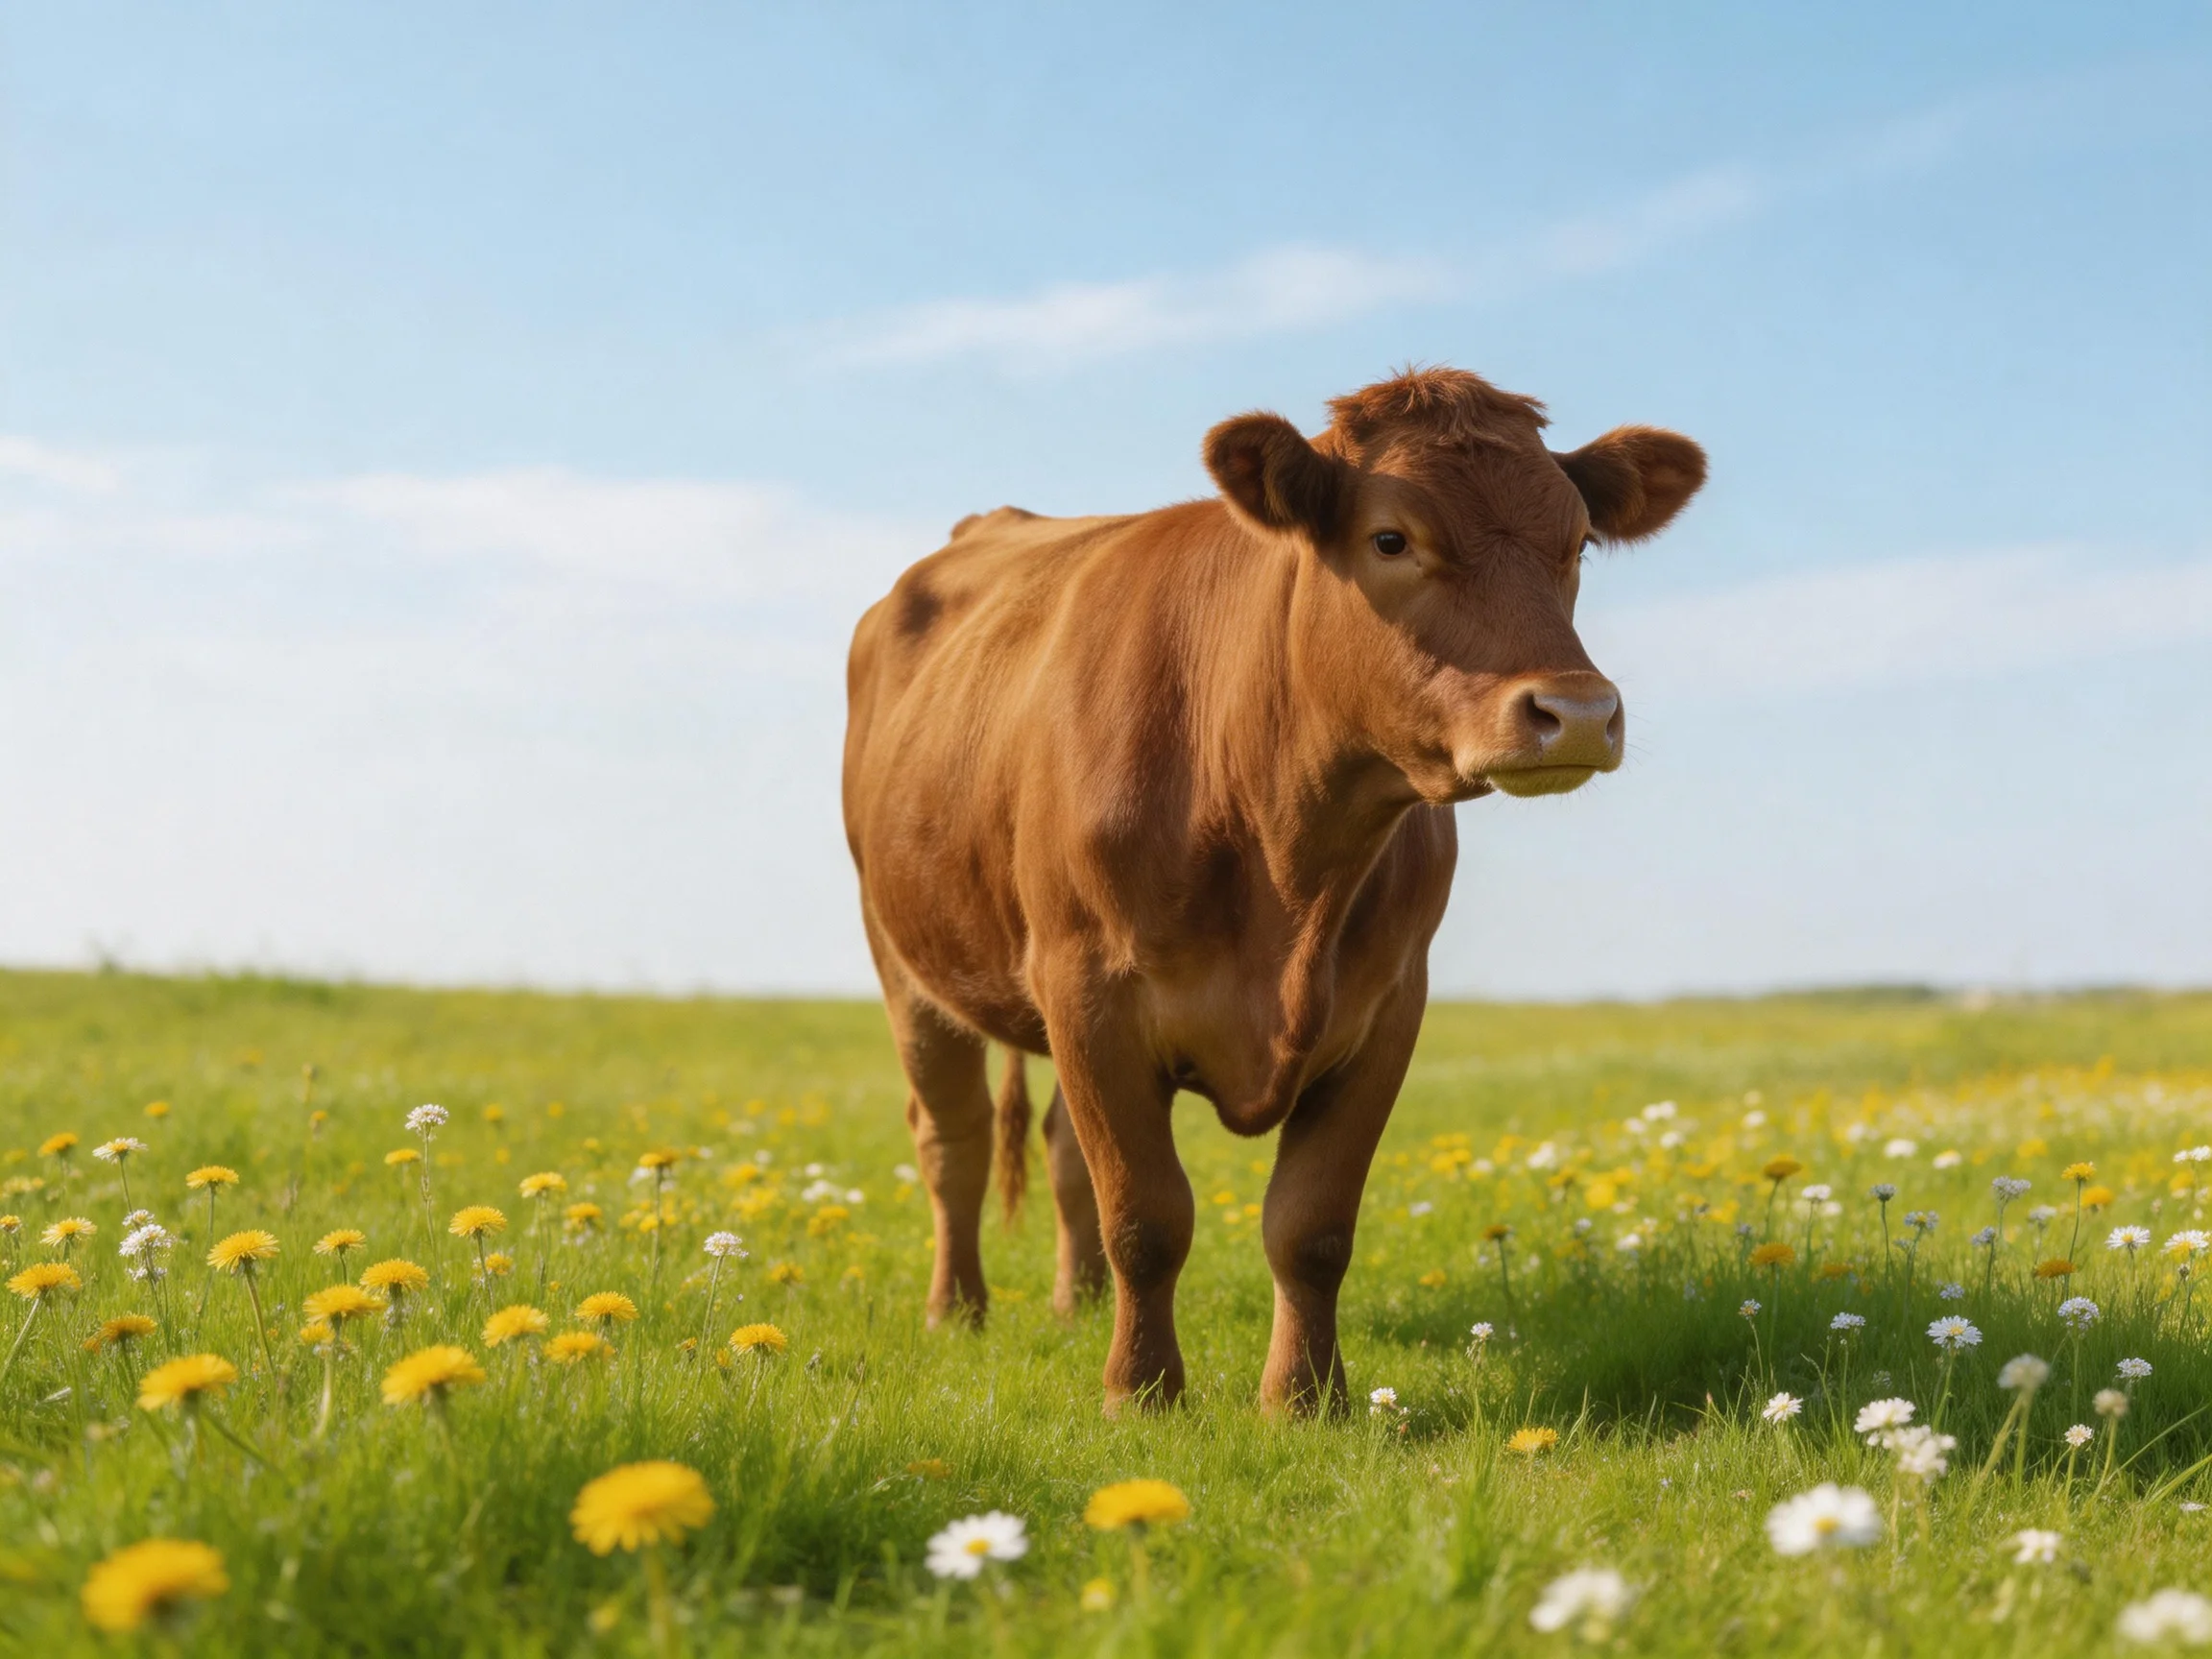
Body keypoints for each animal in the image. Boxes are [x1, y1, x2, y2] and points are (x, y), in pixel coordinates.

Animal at [842, 367, 1703, 1415]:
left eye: (1577, 543)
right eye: (1390, 538)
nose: (1576, 712)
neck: (1285, 857)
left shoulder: (1387, 1007)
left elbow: (1310, 1225)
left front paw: (1304, 1399)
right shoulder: (1088, 991)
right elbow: (1147, 1215)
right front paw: (1142, 1394)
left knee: (1059, 1148)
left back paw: (1076, 1307)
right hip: (905, 963)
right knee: (953, 1142)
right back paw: (957, 1312)